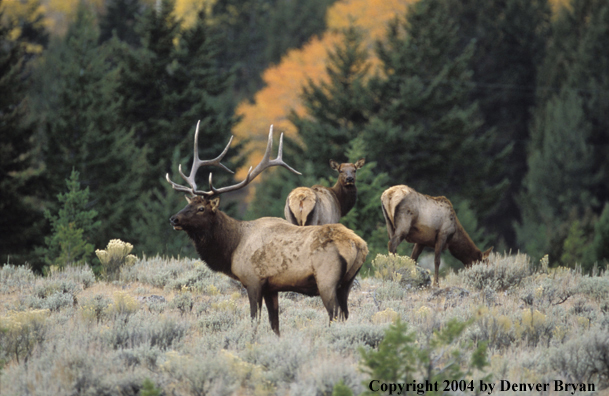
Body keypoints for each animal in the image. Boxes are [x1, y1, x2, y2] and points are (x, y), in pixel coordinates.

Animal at [165, 122, 366, 336]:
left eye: (201, 208)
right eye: (188, 204)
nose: (174, 219)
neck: (233, 247)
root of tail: (359, 244)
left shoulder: (253, 280)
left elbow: (255, 320)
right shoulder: (272, 287)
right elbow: (274, 324)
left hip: (327, 279)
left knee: (334, 315)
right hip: (347, 282)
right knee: (345, 314)